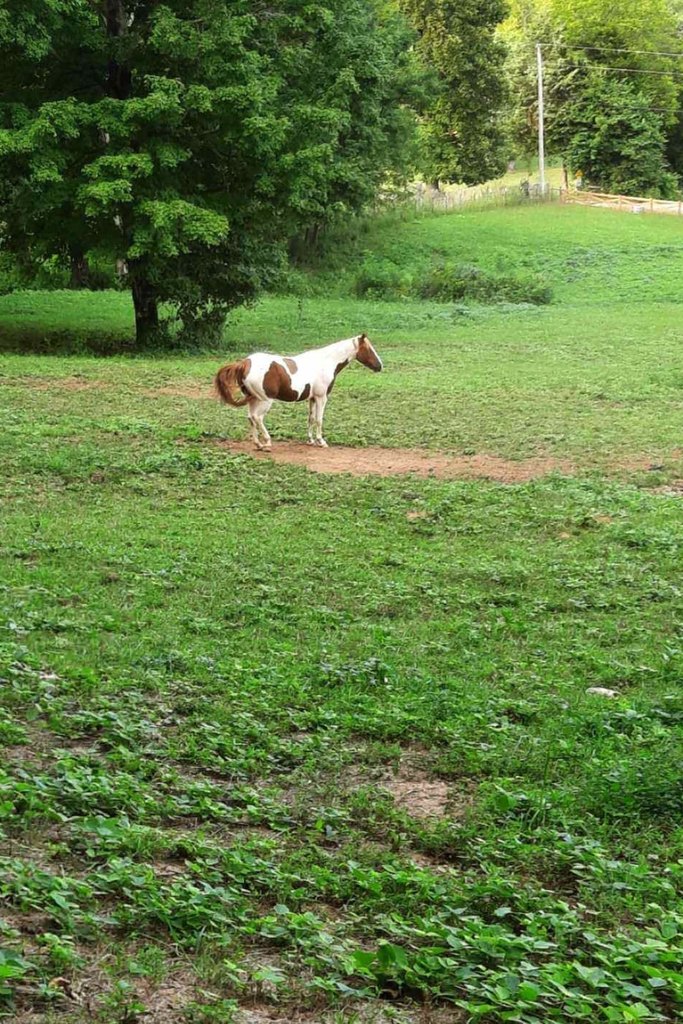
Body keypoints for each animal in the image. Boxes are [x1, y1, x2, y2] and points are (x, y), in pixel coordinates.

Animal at [214, 333, 382, 450]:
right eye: (368, 349)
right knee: (257, 418)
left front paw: (311, 440)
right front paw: (321, 441)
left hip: (253, 399)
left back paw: (258, 444)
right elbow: (319, 419)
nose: (380, 366)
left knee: (251, 418)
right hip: (265, 400)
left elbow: (311, 419)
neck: (326, 361)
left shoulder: (312, 398)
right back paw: (267, 442)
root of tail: (245, 363)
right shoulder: (321, 397)